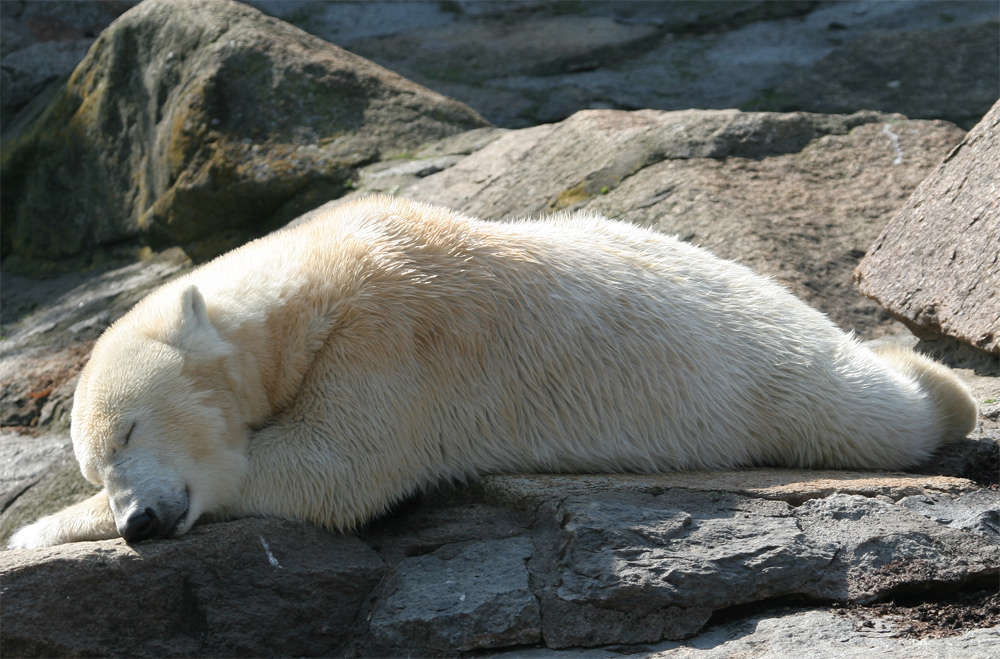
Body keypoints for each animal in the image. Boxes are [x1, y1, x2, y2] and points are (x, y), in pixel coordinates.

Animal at [7, 197, 976, 552]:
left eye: (129, 429)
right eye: (94, 460)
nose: (139, 520)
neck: (324, 267)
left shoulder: (396, 339)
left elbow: (332, 467)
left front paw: (34, 530)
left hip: (766, 372)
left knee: (870, 410)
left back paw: (939, 378)